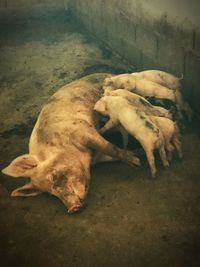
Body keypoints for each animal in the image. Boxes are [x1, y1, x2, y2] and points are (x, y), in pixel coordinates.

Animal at [1, 74, 140, 216]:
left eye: (53, 176)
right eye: (50, 193)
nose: (72, 208)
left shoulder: (82, 130)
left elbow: (109, 148)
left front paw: (136, 162)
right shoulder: (97, 156)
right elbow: (111, 155)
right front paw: (137, 154)